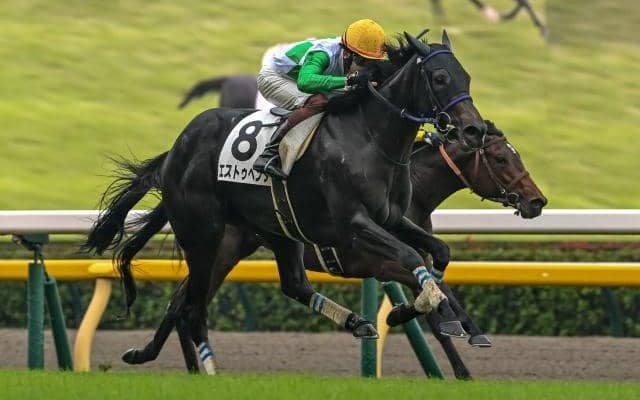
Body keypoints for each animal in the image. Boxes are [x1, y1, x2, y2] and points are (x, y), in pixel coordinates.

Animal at [83, 31, 488, 375]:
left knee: (291, 285)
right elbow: (410, 256)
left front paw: (420, 312)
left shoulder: (392, 219)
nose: (474, 130)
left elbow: (438, 253)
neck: (371, 138)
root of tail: (176, 151)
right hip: (204, 236)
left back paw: (357, 322)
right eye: (439, 77)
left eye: (466, 76)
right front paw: (431, 313)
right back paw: (205, 370)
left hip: (277, 228)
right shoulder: (354, 224)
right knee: (192, 307)